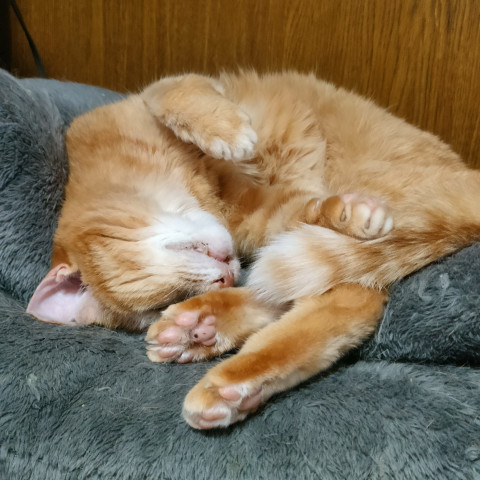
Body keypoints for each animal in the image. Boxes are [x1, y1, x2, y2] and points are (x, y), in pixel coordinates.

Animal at [27, 71, 480, 429]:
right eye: (170, 296)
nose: (225, 274)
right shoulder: (260, 219)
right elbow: (298, 213)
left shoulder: (153, 100)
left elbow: (172, 93)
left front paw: (228, 131)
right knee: (336, 301)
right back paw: (210, 349)